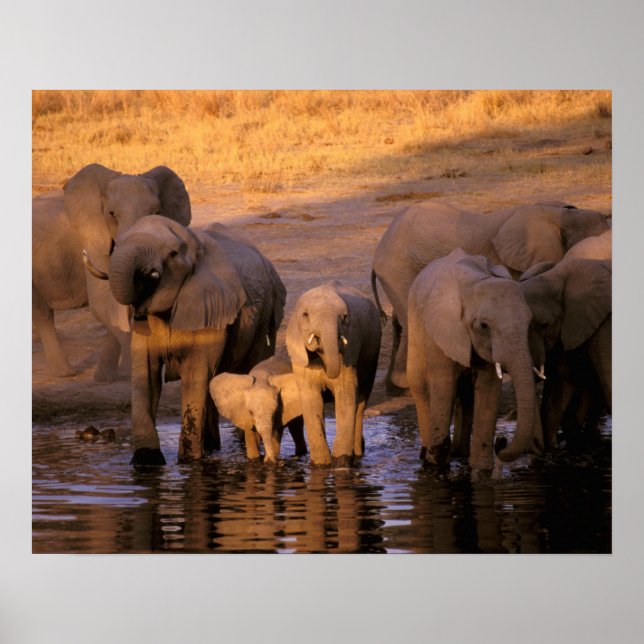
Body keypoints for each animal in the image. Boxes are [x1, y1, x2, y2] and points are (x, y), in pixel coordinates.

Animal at [32, 163, 191, 381]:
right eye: (112, 214)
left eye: (158, 212)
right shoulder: (93, 239)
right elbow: (105, 304)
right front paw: (130, 373)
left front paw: (106, 378)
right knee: (42, 314)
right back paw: (64, 374)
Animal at [87, 215, 286, 465]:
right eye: (118, 243)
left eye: (172, 254)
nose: (148, 273)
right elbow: (146, 373)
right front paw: (146, 461)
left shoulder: (210, 306)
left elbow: (196, 372)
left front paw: (189, 462)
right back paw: (212, 447)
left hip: (264, 316)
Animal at [286, 282, 382, 467]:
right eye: (306, 315)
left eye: (344, 317)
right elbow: (311, 400)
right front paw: (320, 465)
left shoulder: (350, 350)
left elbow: (345, 394)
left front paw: (340, 464)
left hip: (373, 353)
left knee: (361, 401)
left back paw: (358, 454)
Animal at [407, 248, 541, 469]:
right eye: (484, 326)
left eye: (529, 322)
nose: (501, 441)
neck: (475, 282)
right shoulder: (441, 332)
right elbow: (443, 387)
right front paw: (436, 468)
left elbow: (488, 388)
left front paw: (481, 469)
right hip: (414, 323)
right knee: (421, 386)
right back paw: (425, 455)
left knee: (466, 394)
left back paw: (460, 454)